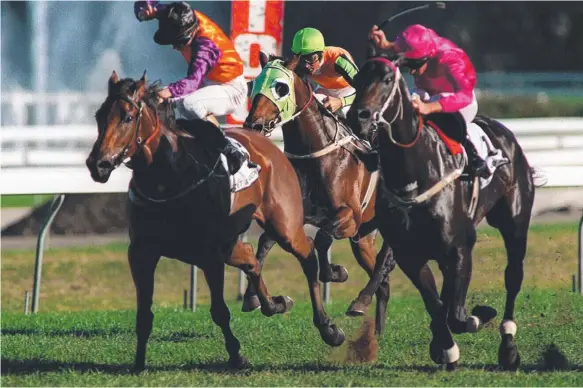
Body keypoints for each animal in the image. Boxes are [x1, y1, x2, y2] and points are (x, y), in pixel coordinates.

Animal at [86, 71, 346, 372]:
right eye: (99, 115)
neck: (168, 178)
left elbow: (220, 311)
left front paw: (237, 355)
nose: (98, 164)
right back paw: (274, 303)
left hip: (285, 225)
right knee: (251, 257)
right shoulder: (142, 253)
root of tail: (267, 143)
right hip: (230, 243)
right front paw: (138, 363)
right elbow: (144, 314)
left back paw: (328, 325)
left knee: (306, 257)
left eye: (128, 117)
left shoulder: (209, 255)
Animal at [242, 53, 396, 334]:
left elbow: (323, 239)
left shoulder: (349, 215)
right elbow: (265, 242)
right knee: (383, 282)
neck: (315, 154)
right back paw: (377, 330)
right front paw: (252, 298)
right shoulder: (296, 215)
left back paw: (360, 301)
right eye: (254, 83)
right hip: (363, 238)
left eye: (281, 87)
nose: (254, 124)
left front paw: (334, 272)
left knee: (384, 264)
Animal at [346, 55, 540, 370]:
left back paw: (508, 346)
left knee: (513, 277)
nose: (358, 116)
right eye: (356, 79)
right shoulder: (409, 253)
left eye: (387, 79)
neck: (413, 174)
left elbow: (458, 316)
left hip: (515, 222)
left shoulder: (460, 246)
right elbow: (435, 304)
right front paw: (446, 349)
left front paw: (480, 315)